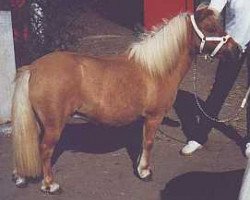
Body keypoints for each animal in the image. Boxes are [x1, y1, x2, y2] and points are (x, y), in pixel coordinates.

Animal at [11, 7, 238, 193]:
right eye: (211, 28)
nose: (237, 49)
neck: (156, 69)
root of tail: (33, 68)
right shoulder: (154, 117)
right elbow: (148, 143)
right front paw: (145, 172)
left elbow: (141, 142)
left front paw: (139, 166)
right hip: (53, 126)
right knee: (44, 150)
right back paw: (50, 185)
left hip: (38, 123)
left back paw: (21, 177)